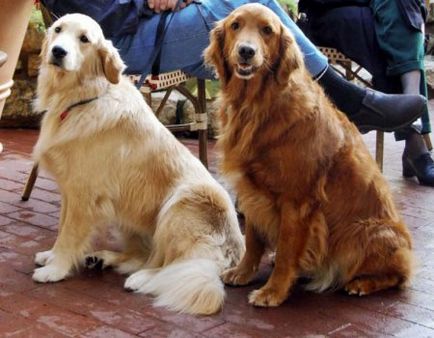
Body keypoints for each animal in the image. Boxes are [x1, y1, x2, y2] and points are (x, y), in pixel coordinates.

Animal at [32, 13, 246, 314]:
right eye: (57, 30)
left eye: (84, 39)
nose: (58, 51)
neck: (81, 98)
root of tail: (232, 255)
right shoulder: (70, 191)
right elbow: (62, 227)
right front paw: (50, 256)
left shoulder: (85, 194)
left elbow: (69, 234)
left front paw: (55, 269)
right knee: (143, 256)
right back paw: (102, 258)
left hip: (179, 205)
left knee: (169, 265)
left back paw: (142, 278)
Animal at [203, 3, 414, 308]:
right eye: (235, 25)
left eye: (267, 30)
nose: (246, 51)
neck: (257, 105)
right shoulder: (252, 192)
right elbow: (253, 240)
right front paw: (243, 273)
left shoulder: (297, 199)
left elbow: (288, 250)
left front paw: (273, 291)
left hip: (363, 233)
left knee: (398, 274)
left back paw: (361, 283)